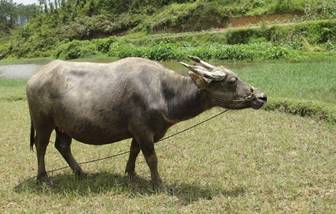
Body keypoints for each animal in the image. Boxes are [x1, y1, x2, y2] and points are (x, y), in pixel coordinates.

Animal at [26, 56, 268, 188]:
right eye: (232, 80)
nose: (261, 96)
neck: (164, 92)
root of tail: (34, 78)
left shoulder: (139, 132)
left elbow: (134, 152)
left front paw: (131, 174)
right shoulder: (143, 131)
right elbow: (151, 158)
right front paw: (158, 183)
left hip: (64, 125)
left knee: (62, 146)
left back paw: (80, 172)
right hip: (43, 122)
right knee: (41, 146)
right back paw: (43, 178)